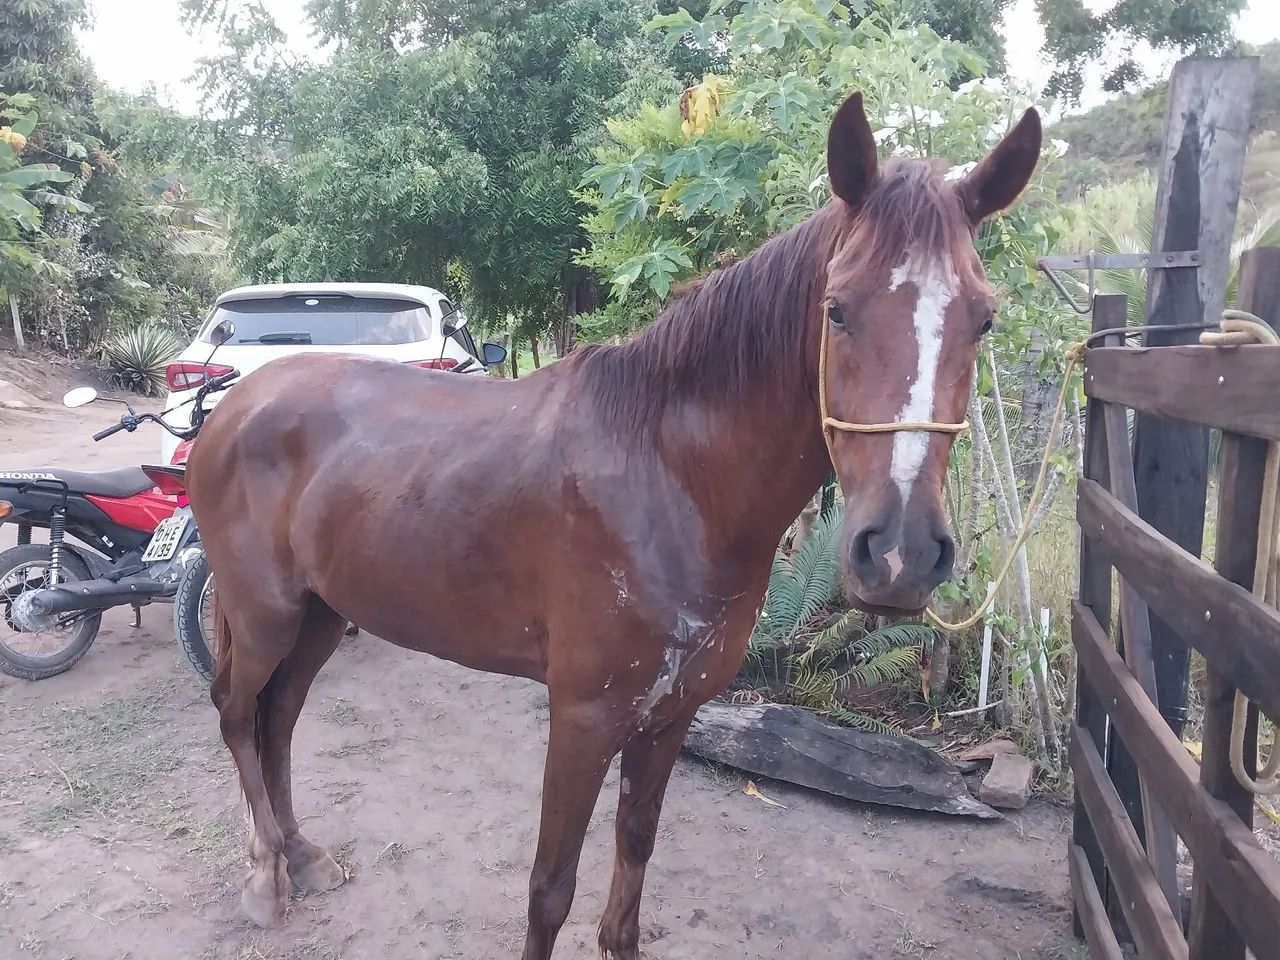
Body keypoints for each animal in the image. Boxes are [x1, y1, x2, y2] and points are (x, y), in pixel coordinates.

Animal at [186, 90, 1041, 959]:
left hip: (322, 614)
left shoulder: (671, 715)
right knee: (236, 712)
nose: (900, 555)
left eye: (985, 320)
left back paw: (302, 856)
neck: (669, 478)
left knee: (279, 717)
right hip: (265, 615)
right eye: (837, 309)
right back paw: (266, 878)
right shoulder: (582, 719)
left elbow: (634, 855)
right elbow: (549, 888)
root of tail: (236, 404)